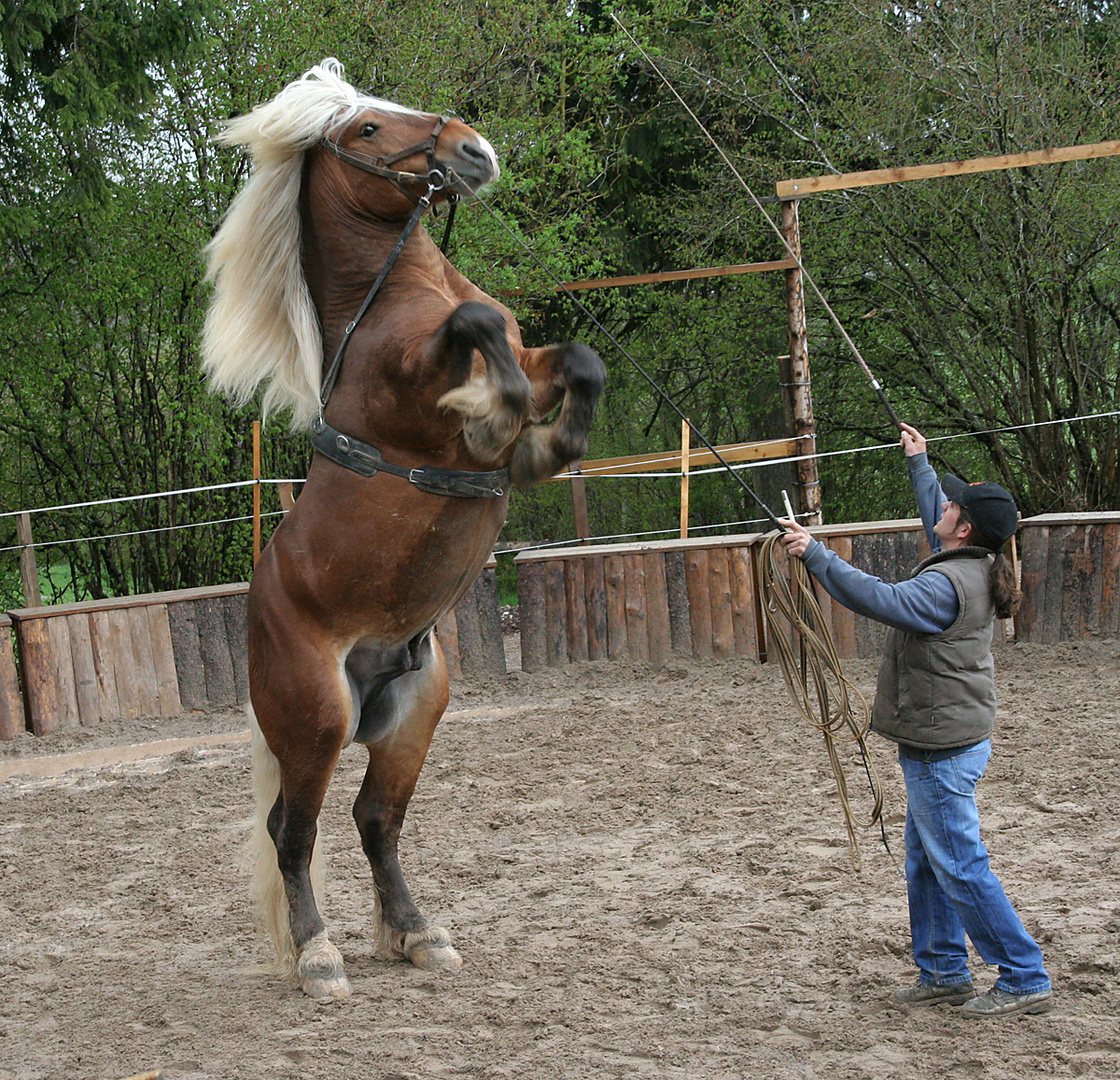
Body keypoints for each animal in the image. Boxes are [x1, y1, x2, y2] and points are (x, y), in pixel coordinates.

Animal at [201, 63, 604, 999]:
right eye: (366, 131)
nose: (472, 149)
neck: (393, 296)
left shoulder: (541, 359)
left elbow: (575, 362)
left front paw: (545, 441)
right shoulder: (418, 383)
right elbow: (479, 335)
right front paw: (498, 423)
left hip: (414, 714)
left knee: (373, 819)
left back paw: (418, 933)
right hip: (315, 720)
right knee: (294, 831)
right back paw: (318, 956)